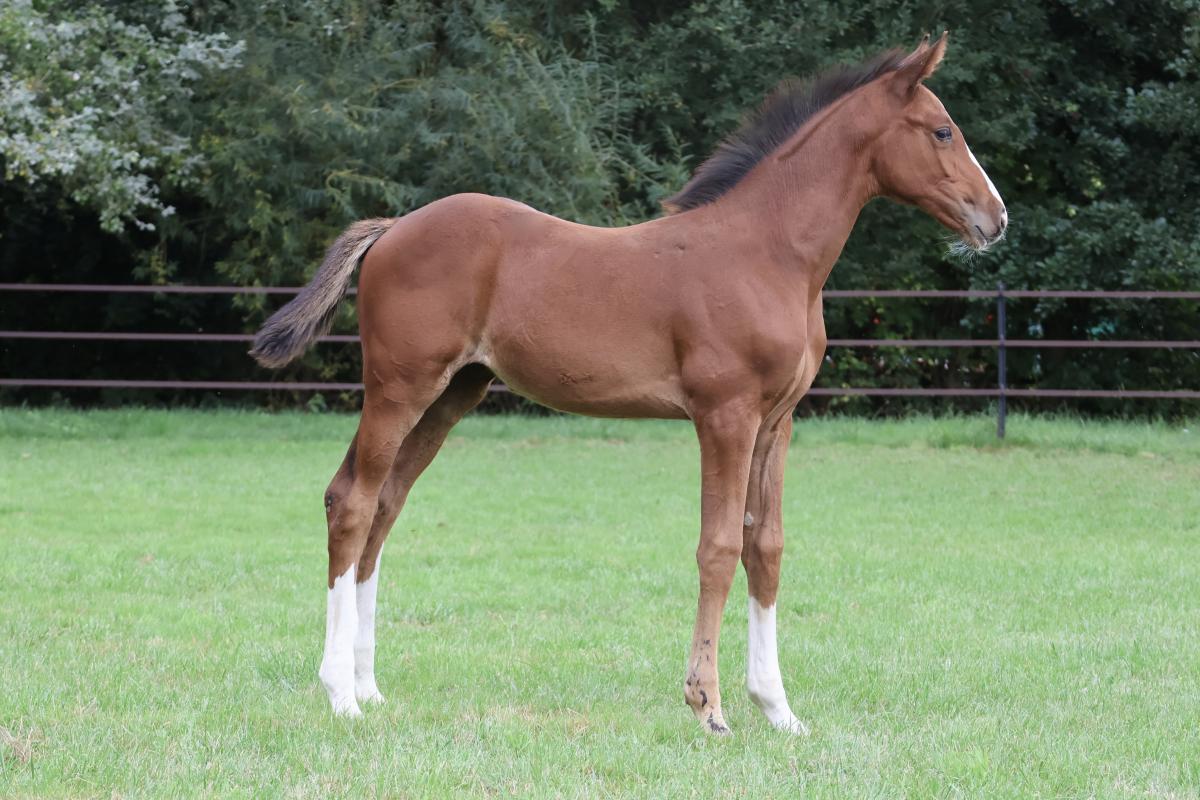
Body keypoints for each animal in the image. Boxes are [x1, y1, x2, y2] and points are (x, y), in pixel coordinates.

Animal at [251, 33, 1006, 735]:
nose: (995, 218)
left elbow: (766, 549)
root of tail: (392, 228)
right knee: (352, 502)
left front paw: (778, 709)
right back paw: (341, 694)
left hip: (451, 395)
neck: (770, 253)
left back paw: (370, 687)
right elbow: (718, 548)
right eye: (942, 130)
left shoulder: (777, 421)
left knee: (385, 506)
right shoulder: (725, 415)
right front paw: (709, 706)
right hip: (400, 387)